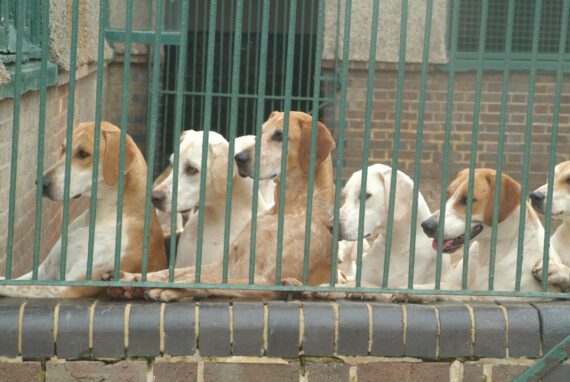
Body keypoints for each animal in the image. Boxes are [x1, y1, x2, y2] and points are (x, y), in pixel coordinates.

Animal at [0, 122, 168, 298]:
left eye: (83, 154)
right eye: (63, 148)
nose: (42, 183)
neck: (100, 218)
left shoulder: (69, 287)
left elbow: (10, 284)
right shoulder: (44, 271)